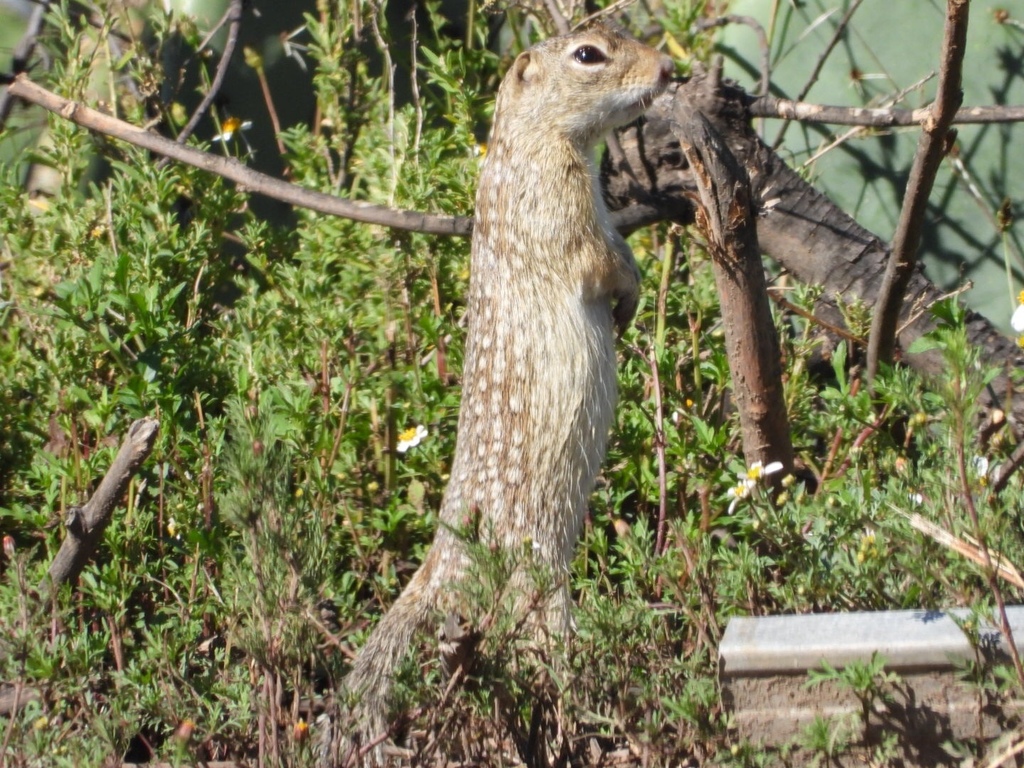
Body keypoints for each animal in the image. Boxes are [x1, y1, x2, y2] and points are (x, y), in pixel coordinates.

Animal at [330, 24, 673, 764]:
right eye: (589, 54)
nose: (668, 68)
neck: (530, 140)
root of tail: (438, 564)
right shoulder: (559, 205)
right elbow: (602, 259)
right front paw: (628, 292)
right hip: (538, 589)